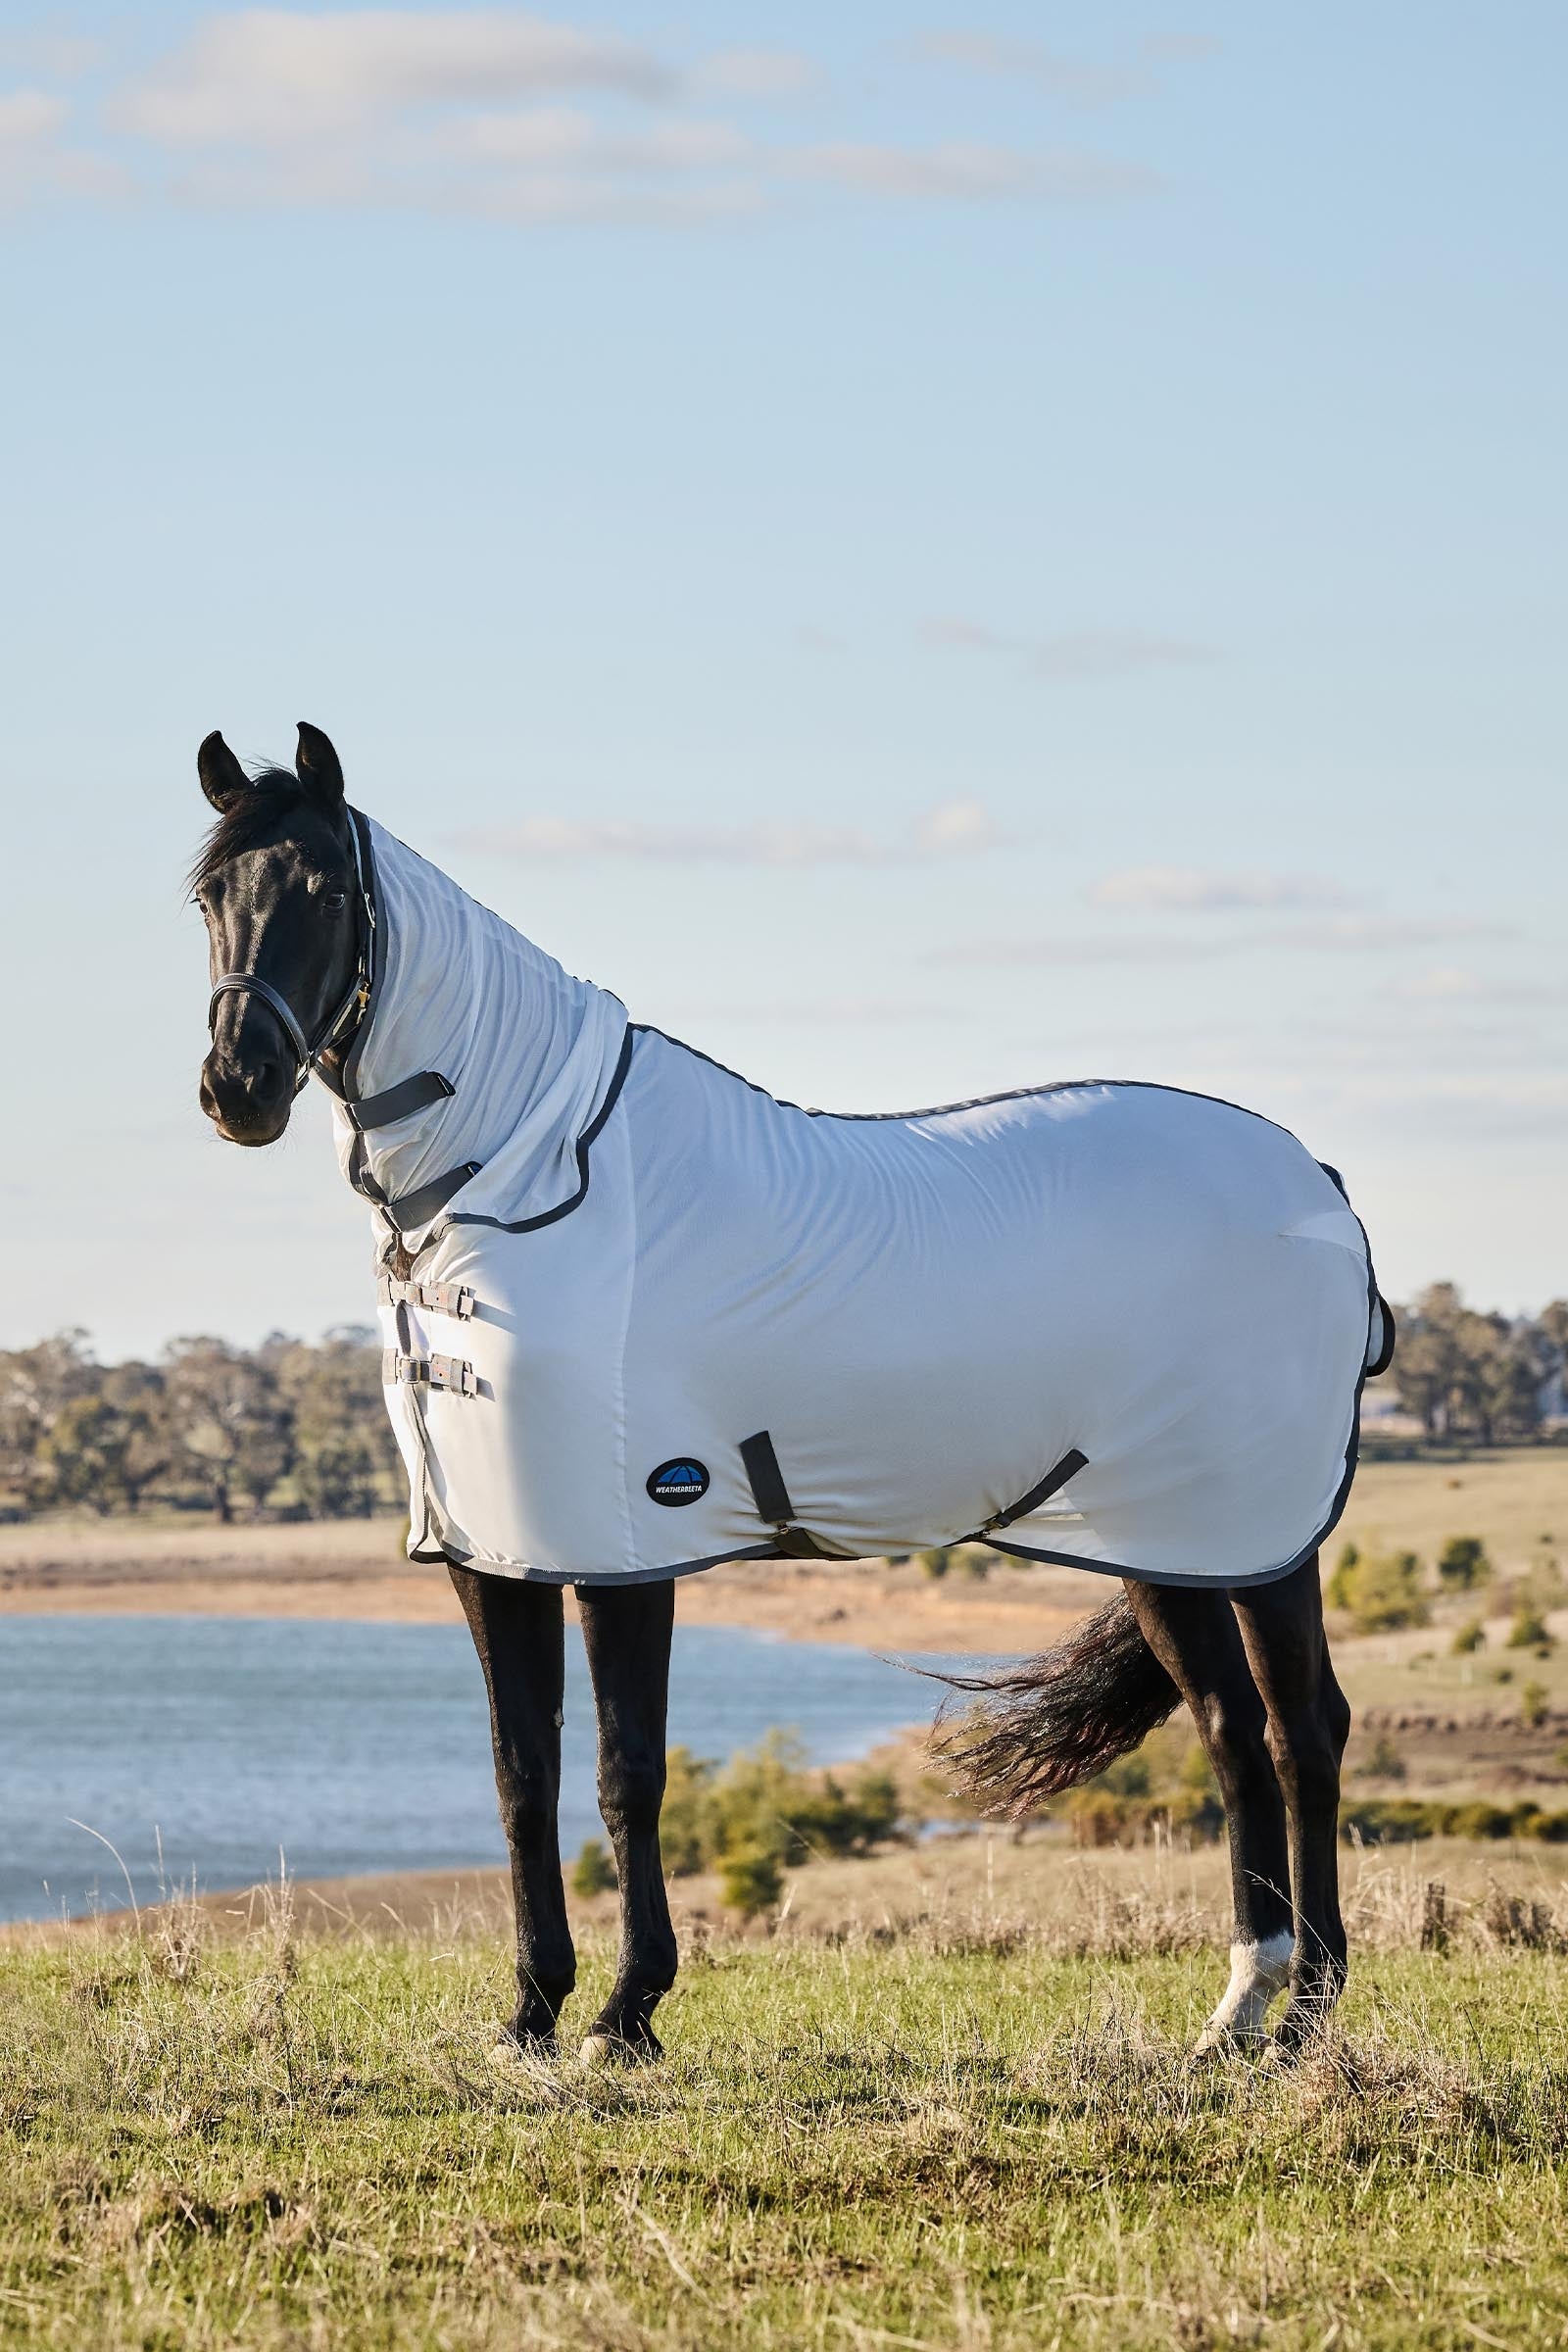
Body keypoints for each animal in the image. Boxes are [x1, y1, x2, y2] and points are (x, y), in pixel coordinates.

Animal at [192, 720, 1388, 2063]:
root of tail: (1317, 1181)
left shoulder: (625, 1546)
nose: (237, 1089)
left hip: (1259, 1537)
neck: (522, 1174)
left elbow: (624, 1771)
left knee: (1301, 1729)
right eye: (208, 899)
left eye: (324, 891)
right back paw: (1239, 2011)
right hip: (1165, 1539)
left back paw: (1304, 2013)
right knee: (1232, 1734)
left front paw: (625, 2013)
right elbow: (518, 1774)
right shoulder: (492, 1551)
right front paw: (530, 2013)